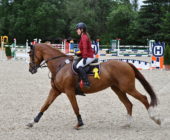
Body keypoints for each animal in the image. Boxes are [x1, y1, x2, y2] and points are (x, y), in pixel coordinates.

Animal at [26, 43, 161, 130]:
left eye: (31, 54)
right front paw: (32, 122)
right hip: (118, 89)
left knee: (143, 98)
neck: (60, 66)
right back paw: (127, 124)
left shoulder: (69, 91)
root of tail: (126, 64)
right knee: (128, 104)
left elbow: (75, 107)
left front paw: (79, 123)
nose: (31, 70)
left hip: (128, 88)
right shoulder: (55, 90)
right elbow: (45, 106)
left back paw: (155, 118)